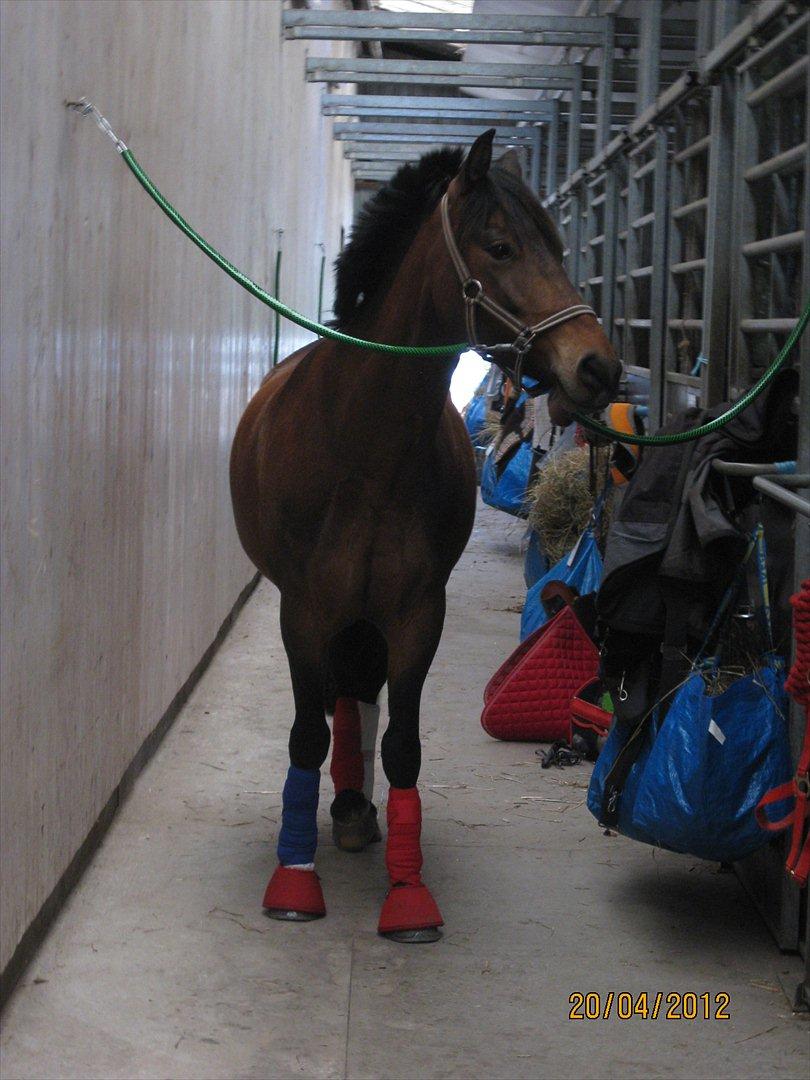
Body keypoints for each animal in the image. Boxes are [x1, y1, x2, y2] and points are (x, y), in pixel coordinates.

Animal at [230, 130, 622, 941]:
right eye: (501, 247)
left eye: (559, 244)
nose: (599, 365)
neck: (364, 444)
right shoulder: (302, 610)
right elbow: (306, 735)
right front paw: (293, 881)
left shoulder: (416, 612)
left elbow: (402, 744)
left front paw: (408, 895)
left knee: (357, 695)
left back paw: (354, 809)